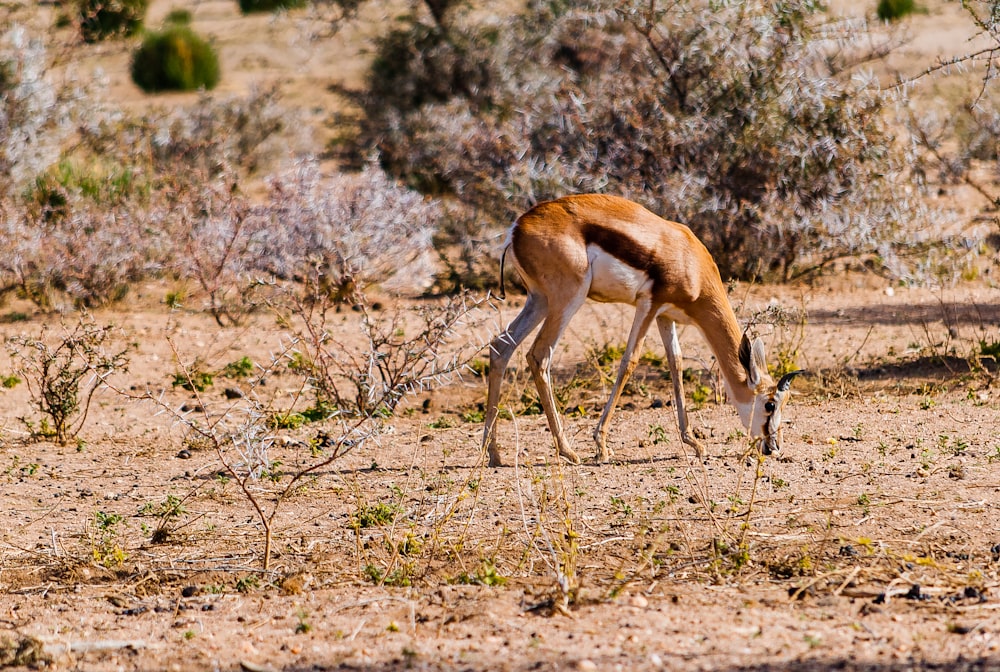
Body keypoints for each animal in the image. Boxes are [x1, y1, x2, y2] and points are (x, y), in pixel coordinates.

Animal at [480, 193, 800, 468]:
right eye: (770, 404)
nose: (773, 447)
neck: (689, 259)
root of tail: (517, 227)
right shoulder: (648, 304)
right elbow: (630, 361)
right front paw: (601, 446)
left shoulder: (666, 316)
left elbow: (676, 364)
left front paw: (694, 443)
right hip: (567, 298)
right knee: (539, 356)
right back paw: (568, 450)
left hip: (539, 301)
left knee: (500, 348)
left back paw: (493, 452)